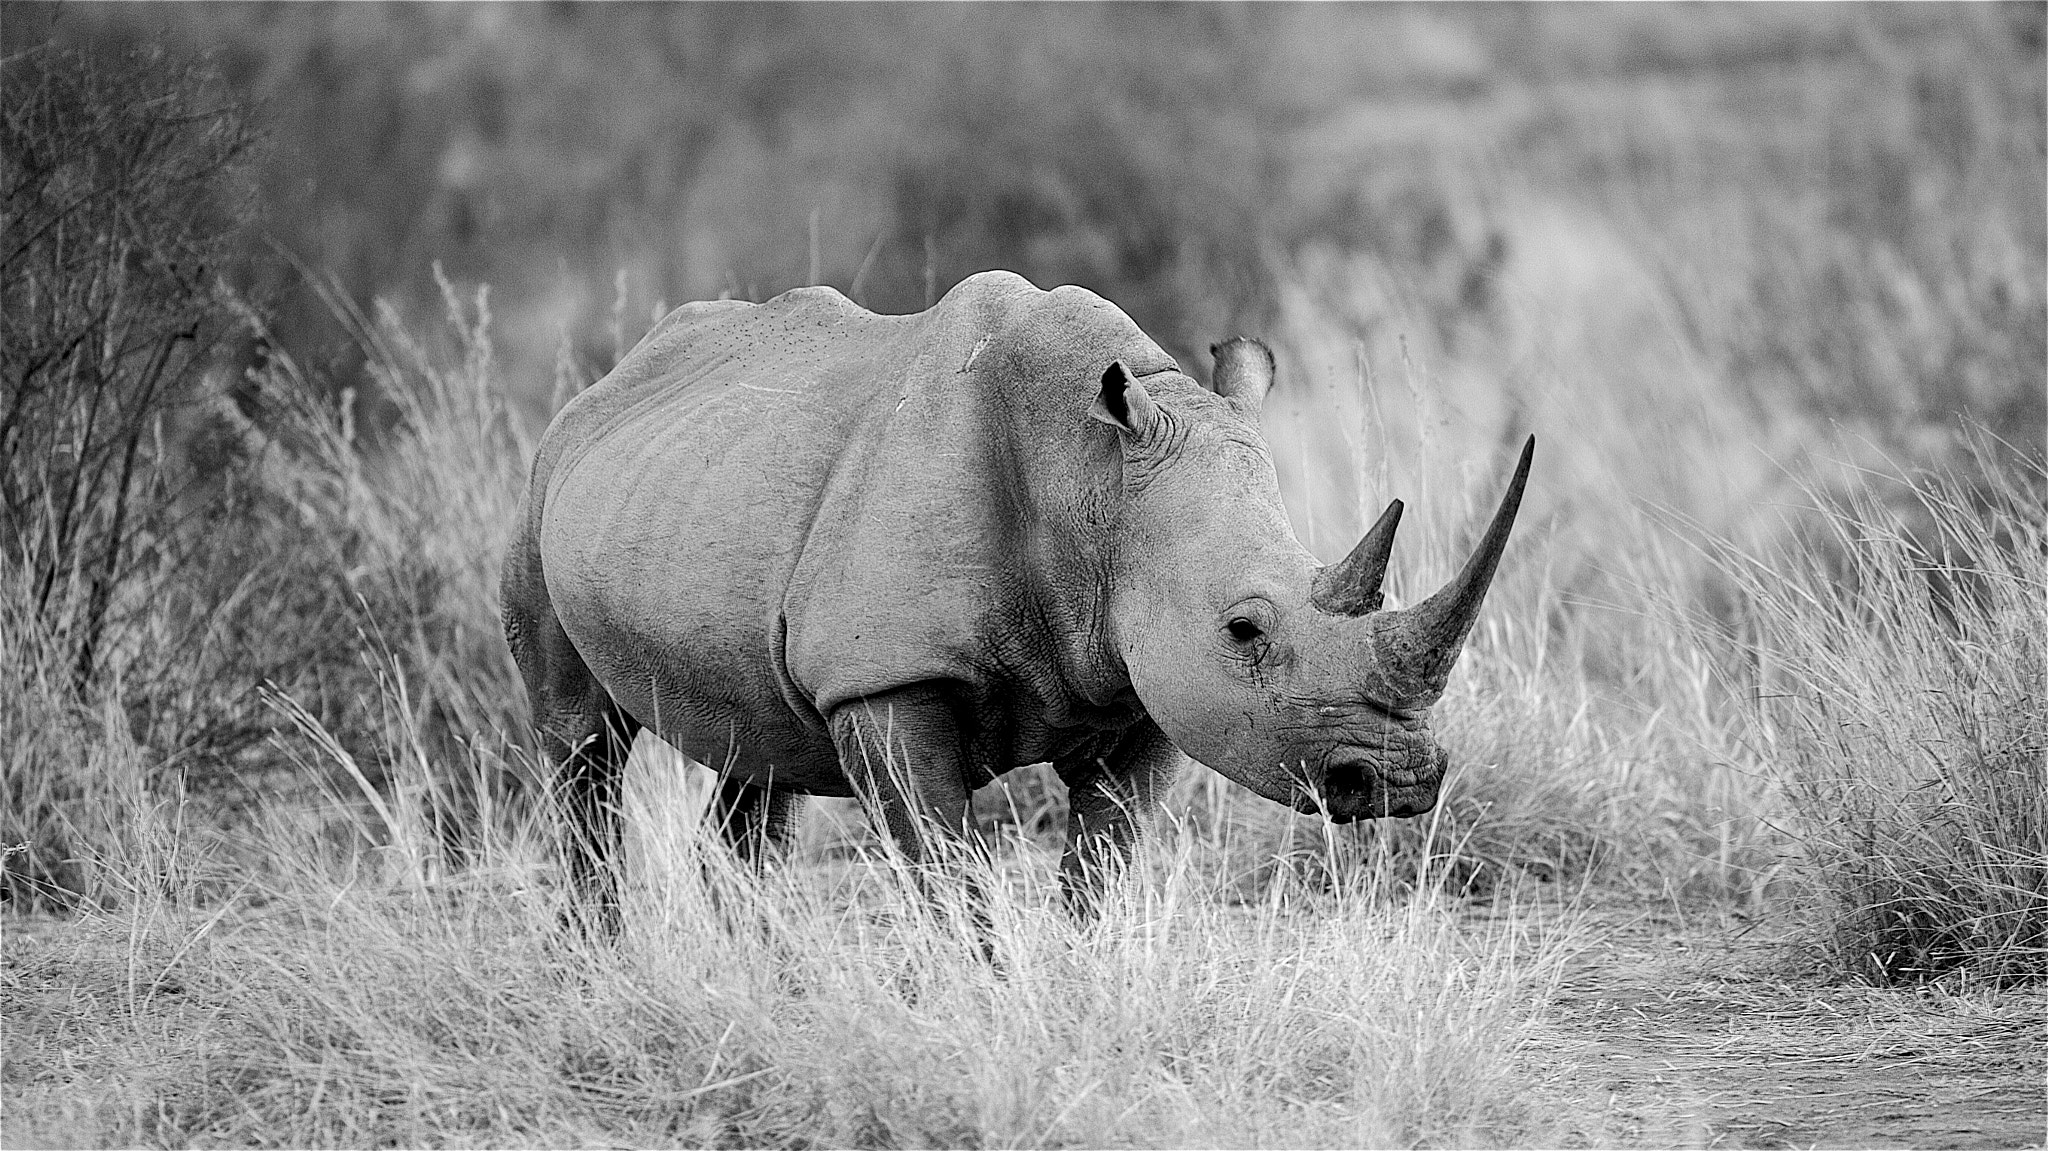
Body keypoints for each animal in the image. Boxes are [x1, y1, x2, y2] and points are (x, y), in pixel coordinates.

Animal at [502, 270, 1532, 928]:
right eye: (1244, 629)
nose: (1405, 780)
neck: (1092, 482)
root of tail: (607, 383)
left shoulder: (1145, 685)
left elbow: (1102, 863)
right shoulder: (887, 676)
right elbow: (948, 870)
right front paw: (975, 1005)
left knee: (760, 757)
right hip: (542, 483)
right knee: (582, 747)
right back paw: (604, 963)